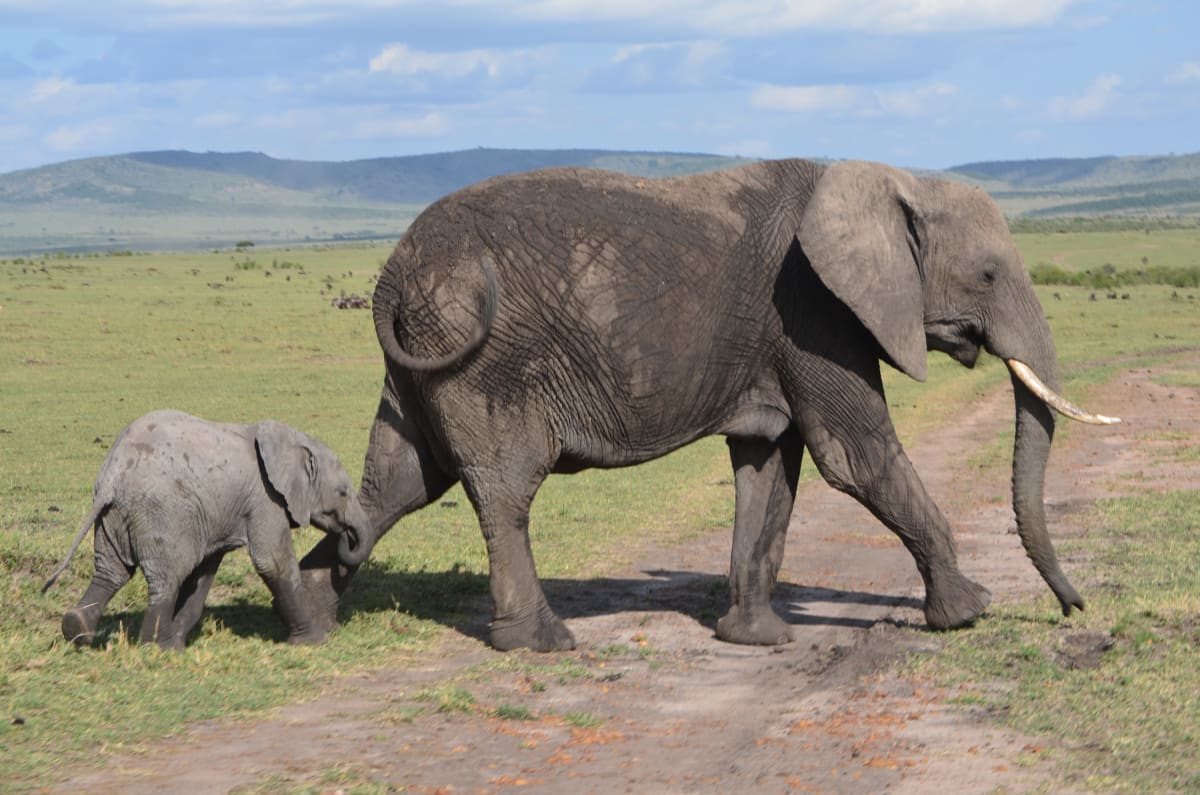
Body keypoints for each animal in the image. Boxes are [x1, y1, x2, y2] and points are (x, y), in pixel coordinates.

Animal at [42, 413, 369, 653]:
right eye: (342, 492)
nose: (347, 536)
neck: (292, 439)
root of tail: (114, 474)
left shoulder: (217, 513)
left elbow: (204, 574)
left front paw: (178, 638)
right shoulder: (265, 499)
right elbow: (273, 563)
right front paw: (315, 640)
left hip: (114, 517)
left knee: (111, 572)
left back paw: (77, 628)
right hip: (161, 513)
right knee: (166, 578)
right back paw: (155, 648)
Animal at [297, 160, 1113, 653]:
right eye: (987, 274)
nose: (1072, 608)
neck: (886, 177)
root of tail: (392, 275)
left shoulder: (783, 339)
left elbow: (770, 469)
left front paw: (758, 639)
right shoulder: (815, 313)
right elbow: (857, 458)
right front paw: (969, 610)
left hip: (426, 358)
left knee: (397, 482)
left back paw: (308, 621)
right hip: (482, 353)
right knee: (503, 490)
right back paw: (541, 642)